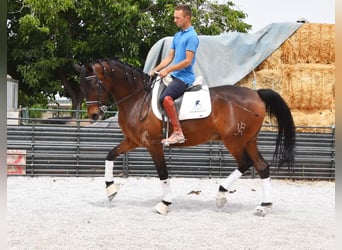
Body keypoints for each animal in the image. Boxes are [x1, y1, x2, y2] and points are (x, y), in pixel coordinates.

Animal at [73, 57, 296, 216]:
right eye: (82, 87)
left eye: (94, 85)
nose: (94, 115)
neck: (136, 98)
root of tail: (256, 94)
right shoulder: (133, 141)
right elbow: (110, 155)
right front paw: (111, 190)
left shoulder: (153, 144)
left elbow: (163, 173)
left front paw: (164, 204)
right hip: (248, 140)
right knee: (262, 166)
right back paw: (263, 205)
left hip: (234, 141)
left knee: (246, 163)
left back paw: (221, 194)